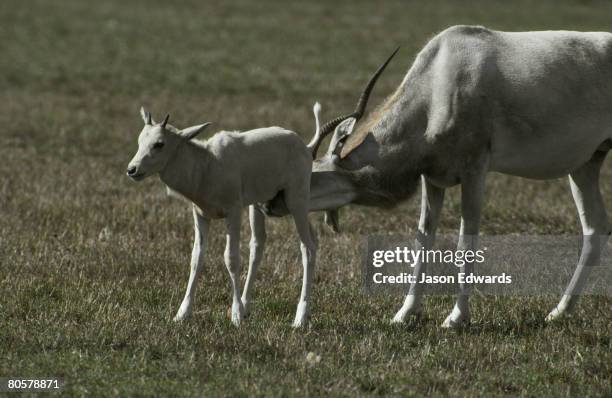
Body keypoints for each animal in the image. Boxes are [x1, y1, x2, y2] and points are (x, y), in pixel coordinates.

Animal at [124, 109, 316, 326]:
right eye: (140, 140)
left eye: (159, 143)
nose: (132, 169)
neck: (207, 164)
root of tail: (305, 147)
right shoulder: (200, 215)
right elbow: (196, 258)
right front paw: (182, 314)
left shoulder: (233, 212)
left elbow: (231, 258)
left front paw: (236, 316)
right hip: (258, 205)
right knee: (259, 246)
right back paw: (248, 306)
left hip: (296, 201)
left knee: (307, 248)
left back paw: (300, 317)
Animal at [268, 26, 612, 328]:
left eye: (309, 174)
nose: (271, 205)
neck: (439, 80)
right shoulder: (432, 178)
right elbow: (423, 240)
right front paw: (404, 314)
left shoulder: (474, 171)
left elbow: (465, 245)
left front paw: (456, 318)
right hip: (585, 165)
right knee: (594, 229)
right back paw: (559, 312)